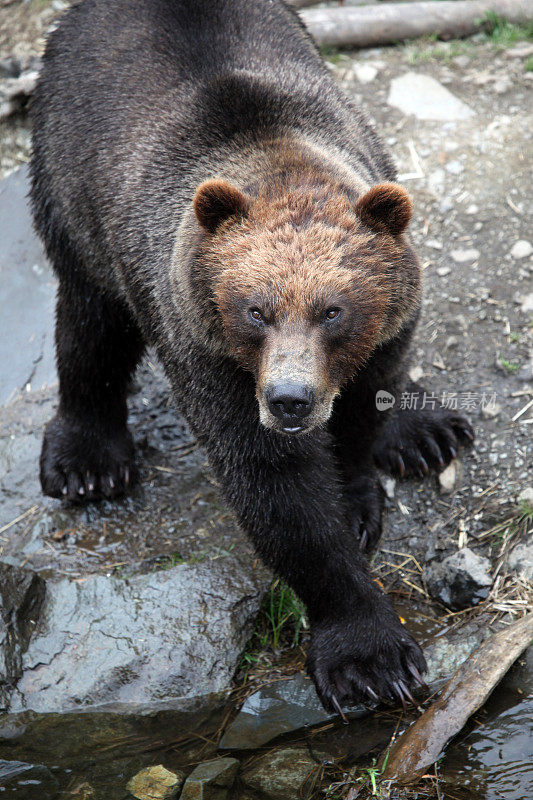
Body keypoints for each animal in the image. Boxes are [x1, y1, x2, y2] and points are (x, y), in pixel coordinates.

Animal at [30, 0, 470, 712]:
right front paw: (370, 658)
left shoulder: (383, 331)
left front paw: (358, 496)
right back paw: (86, 461)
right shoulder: (205, 349)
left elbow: (362, 409)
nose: (290, 400)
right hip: (71, 182)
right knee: (90, 321)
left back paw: (425, 430)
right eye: (255, 309)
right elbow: (276, 489)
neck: (275, 156)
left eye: (333, 310)